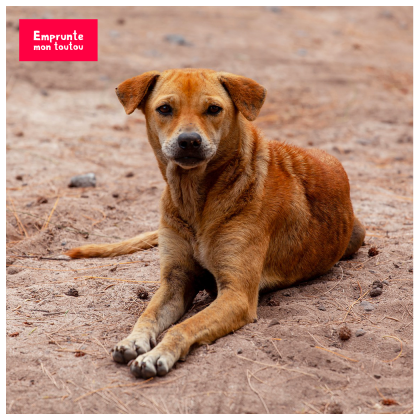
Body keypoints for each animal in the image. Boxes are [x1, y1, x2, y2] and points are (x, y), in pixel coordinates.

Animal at [67, 67, 366, 378]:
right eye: (165, 109)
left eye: (213, 109)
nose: (189, 140)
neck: (195, 200)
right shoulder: (175, 280)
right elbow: (147, 314)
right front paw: (133, 340)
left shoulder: (236, 295)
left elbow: (183, 327)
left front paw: (158, 354)